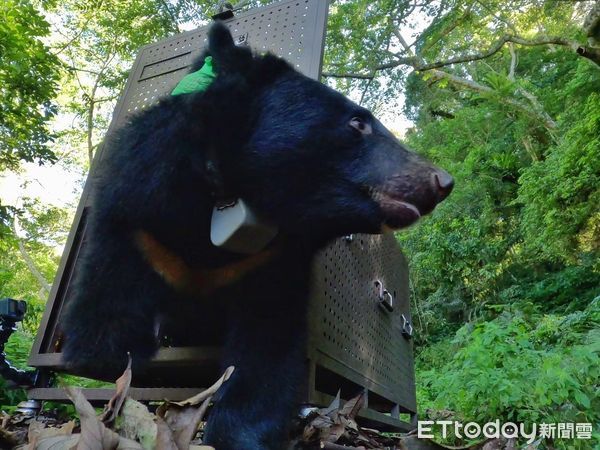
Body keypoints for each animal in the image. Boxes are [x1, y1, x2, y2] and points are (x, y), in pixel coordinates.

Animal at [62, 22, 454, 450]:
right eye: (357, 123)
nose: (442, 181)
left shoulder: (272, 261)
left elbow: (267, 345)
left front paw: (239, 432)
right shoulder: (140, 221)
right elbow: (105, 324)